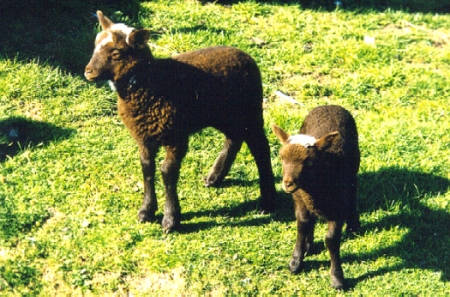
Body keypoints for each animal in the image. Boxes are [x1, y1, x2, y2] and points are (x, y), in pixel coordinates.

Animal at [82, 11, 276, 231]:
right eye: (95, 45)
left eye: (116, 53)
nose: (88, 71)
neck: (148, 83)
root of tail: (245, 55)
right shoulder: (145, 137)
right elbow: (147, 167)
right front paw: (146, 211)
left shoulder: (176, 137)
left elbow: (167, 171)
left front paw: (170, 219)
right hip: (225, 115)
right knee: (234, 139)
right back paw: (214, 177)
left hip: (250, 111)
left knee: (260, 148)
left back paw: (267, 201)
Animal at [270, 104, 362, 290]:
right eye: (281, 158)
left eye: (308, 162)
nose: (287, 184)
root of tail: (329, 105)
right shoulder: (300, 201)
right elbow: (302, 226)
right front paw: (296, 261)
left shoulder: (337, 209)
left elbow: (331, 240)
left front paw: (337, 278)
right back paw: (309, 244)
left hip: (353, 169)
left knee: (353, 190)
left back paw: (354, 225)